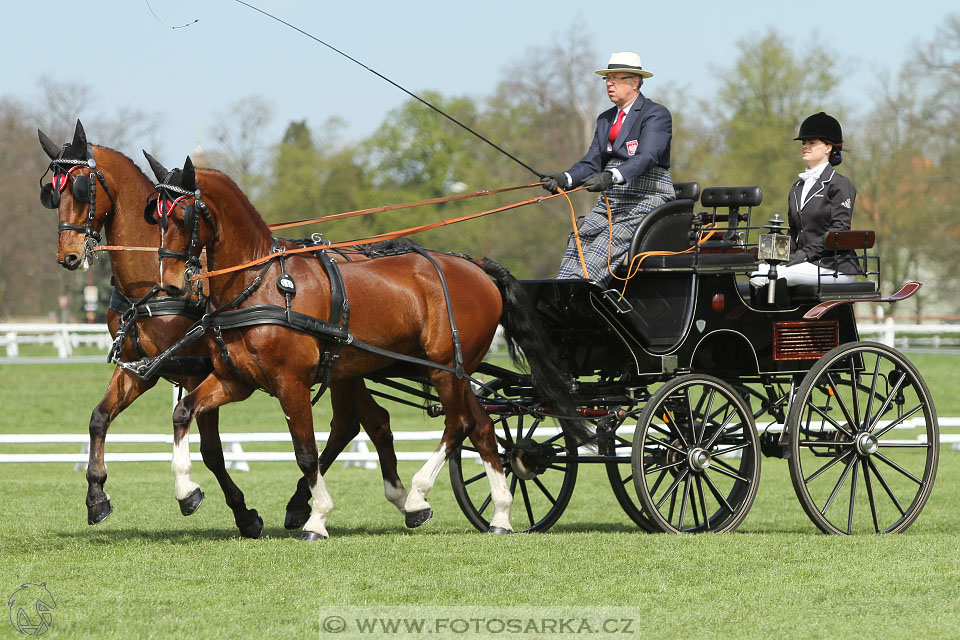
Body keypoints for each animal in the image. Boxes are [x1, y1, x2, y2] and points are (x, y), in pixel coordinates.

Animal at [38, 120, 408, 536]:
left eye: (80, 188)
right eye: (52, 192)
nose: (68, 255)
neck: (150, 286)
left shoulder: (199, 371)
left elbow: (212, 450)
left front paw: (235, 510)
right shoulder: (140, 368)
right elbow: (99, 418)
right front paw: (97, 495)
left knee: (351, 424)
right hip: (346, 369)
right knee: (365, 421)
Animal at [142, 156, 576, 540]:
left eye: (183, 218)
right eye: (156, 219)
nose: (170, 286)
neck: (260, 284)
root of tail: (476, 265)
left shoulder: (291, 383)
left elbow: (305, 451)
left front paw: (317, 517)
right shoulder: (235, 380)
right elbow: (183, 412)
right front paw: (187, 492)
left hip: (442, 369)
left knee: (459, 425)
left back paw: (417, 496)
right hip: (455, 372)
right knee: (483, 427)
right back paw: (500, 513)